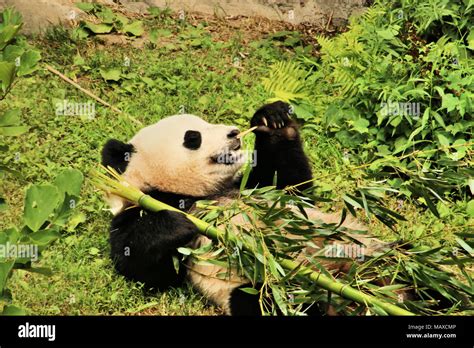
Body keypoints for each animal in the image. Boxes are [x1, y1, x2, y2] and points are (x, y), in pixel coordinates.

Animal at [102, 101, 372, 316]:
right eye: (193, 137)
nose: (233, 133)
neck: (204, 193)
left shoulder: (254, 189)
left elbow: (293, 187)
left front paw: (272, 119)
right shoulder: (145, 206)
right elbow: (137, 263)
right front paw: (176, 223)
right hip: (266, 287)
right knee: (269, 301)